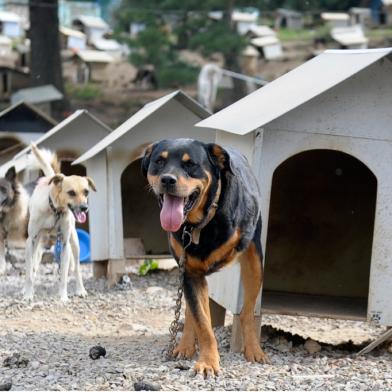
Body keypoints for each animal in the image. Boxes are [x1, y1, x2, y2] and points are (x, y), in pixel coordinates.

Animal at [23, 145, 96, 302]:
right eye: (71, 192)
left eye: (86, 192)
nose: (84, 208)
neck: (55, 210)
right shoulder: (31, 241)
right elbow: (29, 273)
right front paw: (28, 294)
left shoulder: (64, 244)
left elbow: (63, 276)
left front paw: (63, 297)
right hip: (37, 246)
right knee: (33, 267)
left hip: (74, 243)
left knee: (76, 269)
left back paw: (80, 290)